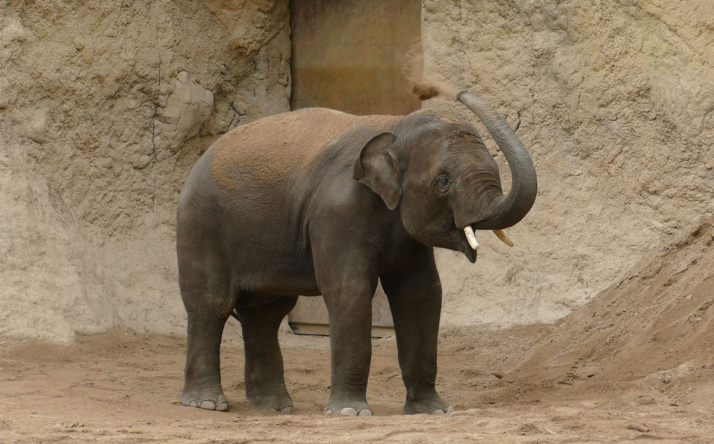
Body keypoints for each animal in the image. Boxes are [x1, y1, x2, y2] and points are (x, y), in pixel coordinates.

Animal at [176, 90, 537, 416]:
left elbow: (421, 295)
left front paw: (433, 411)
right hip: (201, 226)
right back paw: (207, 404)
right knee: (212, 305)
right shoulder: (336, 212)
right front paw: (351, 412)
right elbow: (350, 290)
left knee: (266, 312)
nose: (460, 92)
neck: (394, 126)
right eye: (443, 181)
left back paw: (274, 407)